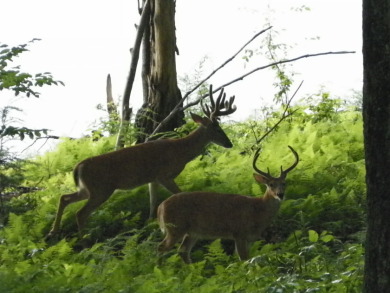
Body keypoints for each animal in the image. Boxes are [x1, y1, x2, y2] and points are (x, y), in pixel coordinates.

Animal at [48, 85, 238, 237]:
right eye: (217, 128)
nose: (229, 143)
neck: (181, 152)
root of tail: (78, 167)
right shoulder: (164, 175)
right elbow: (179, 193)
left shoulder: (152, 178)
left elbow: (153, 201)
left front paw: (150, 222)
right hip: (100, 189)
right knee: (80, 213)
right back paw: (84, 241)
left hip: (87, 189)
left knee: (64, 198)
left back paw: (53, 231)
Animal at [157, 146, 300, 262]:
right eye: (270, 184)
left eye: (284, 183)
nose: (280, 194)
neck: (257, 210)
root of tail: (160, 207)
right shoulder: (239, 232)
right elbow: (244, 259)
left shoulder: (250, 238)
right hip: (175, 227)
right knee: (161, 247)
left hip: (192, 232)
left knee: (183, 251)